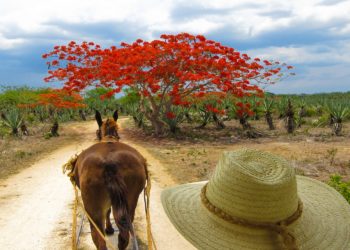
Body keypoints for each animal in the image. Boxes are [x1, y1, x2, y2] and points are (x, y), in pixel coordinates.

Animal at [74, 110, 148, 249]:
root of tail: (110, 163)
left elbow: (107, 211)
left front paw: (109, 229)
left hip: (93, 211)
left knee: (99, 239)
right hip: (130, 203)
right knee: (124, 237)